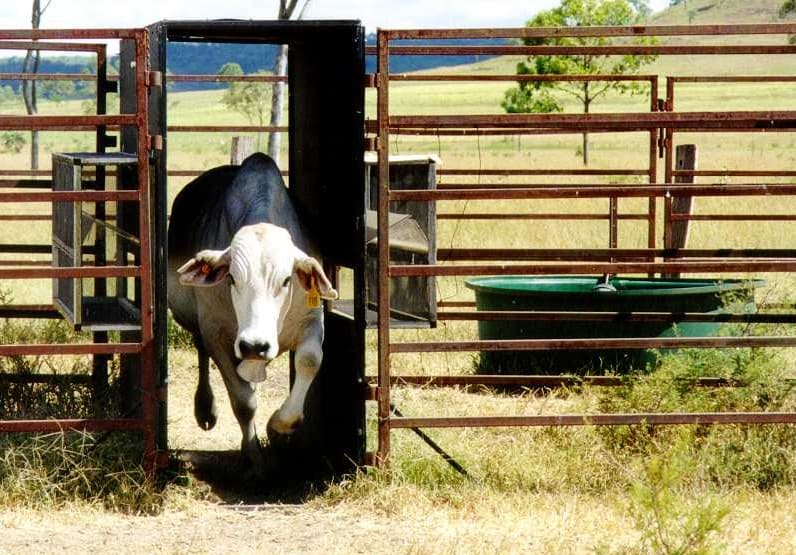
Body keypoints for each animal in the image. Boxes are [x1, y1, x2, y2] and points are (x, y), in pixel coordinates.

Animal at [167, 152, 337, 469]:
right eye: (233, 278)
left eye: (287, 280)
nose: (255, 345)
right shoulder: (217, 335)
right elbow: (244, 402)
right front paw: (254, 457)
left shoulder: (311, 321)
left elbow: (308, 361)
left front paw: (278, 428)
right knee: (201, 352)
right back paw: (205, 410)